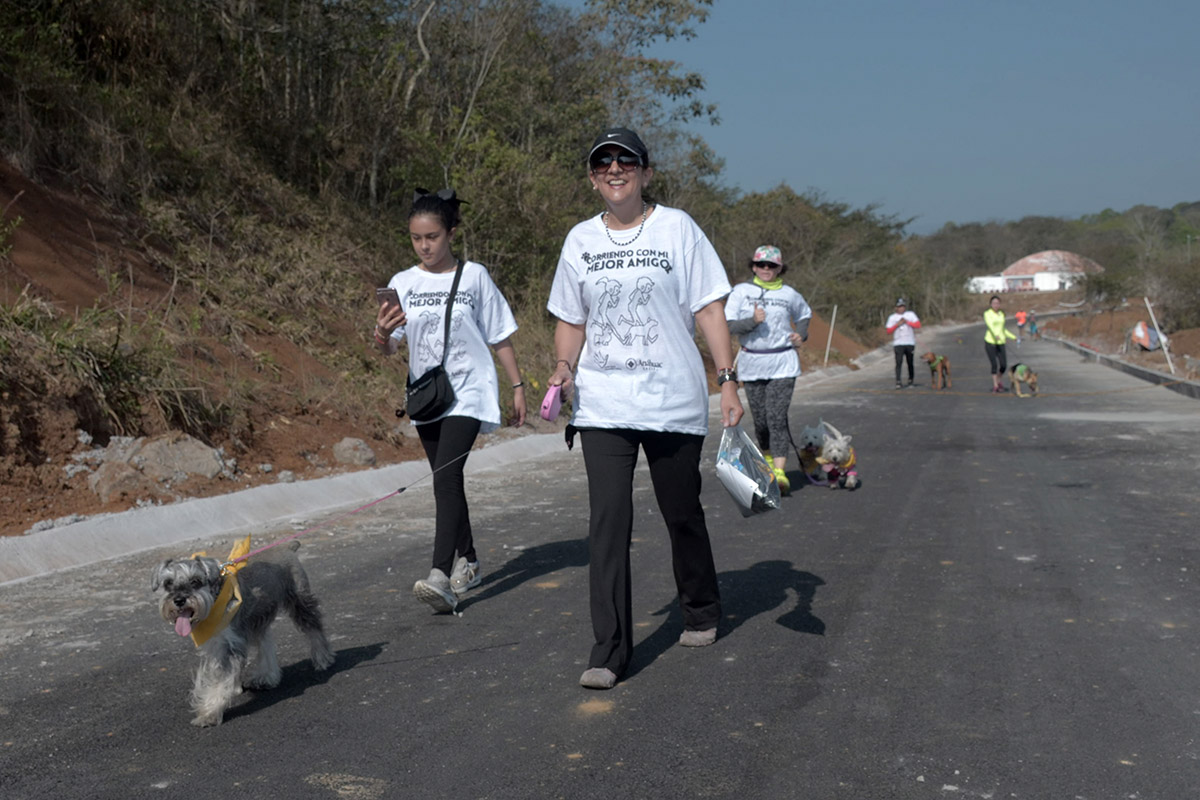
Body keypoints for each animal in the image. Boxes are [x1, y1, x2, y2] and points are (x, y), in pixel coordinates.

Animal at [153, 542, 338, 729]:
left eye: (195, 581)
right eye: (168, 583)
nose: (179, 600)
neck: (215, 600)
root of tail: (287, 548)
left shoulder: (232, 644)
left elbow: (220, 680)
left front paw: (209, 714)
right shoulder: (218, 643)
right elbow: (221, 674)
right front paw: (232, 690)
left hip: (299, 600)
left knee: (313, 628)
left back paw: (322, 658)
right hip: (258, 618)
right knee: (266, 642)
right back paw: (266, 677)